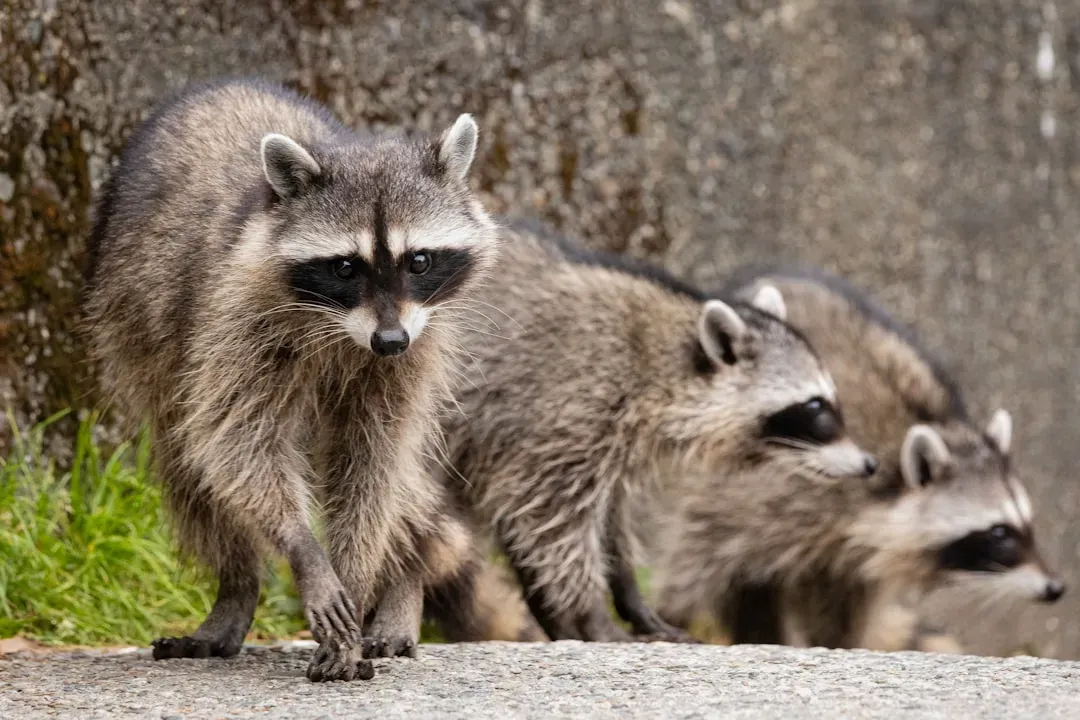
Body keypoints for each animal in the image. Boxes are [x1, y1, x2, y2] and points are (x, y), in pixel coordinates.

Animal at [82, 78, 498, 681]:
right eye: (345, 267)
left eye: (418, 260)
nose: (389, 341)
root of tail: (227, 85)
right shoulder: (236, 315)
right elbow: (236, 441)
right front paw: (305, 550)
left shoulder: (418, 342)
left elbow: (373, 460)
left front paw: (359, 571)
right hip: (139, 326)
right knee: (187, 456)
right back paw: (237, 586)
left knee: (402, 480)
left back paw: (404, 576)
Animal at [434, 219, 877, 643]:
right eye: (815, 408)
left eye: (831, 400)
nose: (870, 464)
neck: (662, 363)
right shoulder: (560, 411)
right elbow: (552, 524)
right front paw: (589, 612)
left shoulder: (600, 441)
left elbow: (604, 520)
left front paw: (625, 598)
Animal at [651, 266, 1064, 652]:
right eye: (999, 533)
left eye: (1027, 523)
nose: (1055, 588)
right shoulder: (770, 496)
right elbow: (701, 558)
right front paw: (669, 615)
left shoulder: (851, 557)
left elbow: (844, 607)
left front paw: (839, 643)